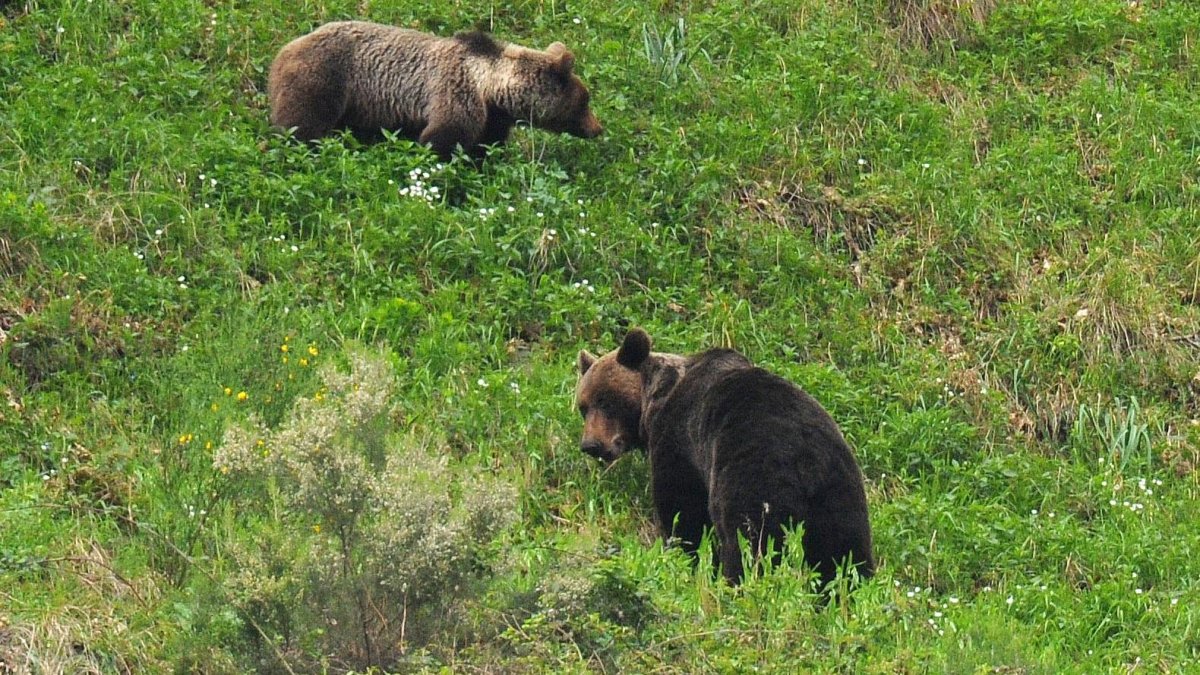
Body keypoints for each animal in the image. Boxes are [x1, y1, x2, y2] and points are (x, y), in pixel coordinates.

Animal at [267, 21, 603, 160]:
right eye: (584, 101)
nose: (598, 128)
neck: (491, 88)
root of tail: (282, 52)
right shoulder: (455, 93)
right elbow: (441, 138)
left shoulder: (492, 118)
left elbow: (486, 146)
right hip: (325, 79)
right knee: (302, 124)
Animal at [576, 328, 875, 588]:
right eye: (583, 406)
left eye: (606, 401)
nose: (591, 444)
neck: (655, 400)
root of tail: (807, 457)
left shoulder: (679, 440)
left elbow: (682, 508)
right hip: (839, 493)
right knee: (843, 554)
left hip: (754, 475)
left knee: (749, 541)